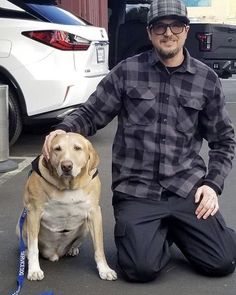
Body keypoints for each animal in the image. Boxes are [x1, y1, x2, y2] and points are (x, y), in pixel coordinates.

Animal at [16, 134, 117, 282]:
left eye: (77, 148)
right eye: (57, 149)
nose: (66, 166)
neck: (68, 186)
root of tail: (55, 253)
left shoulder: (94, 213)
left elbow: (99, 247)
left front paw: (104, 269)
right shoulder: (33, 212)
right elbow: (34, 246)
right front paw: (34, 270)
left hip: (85, 228)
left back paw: (72, 249)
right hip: (21, 224)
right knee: (28, 245)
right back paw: (27, 254)